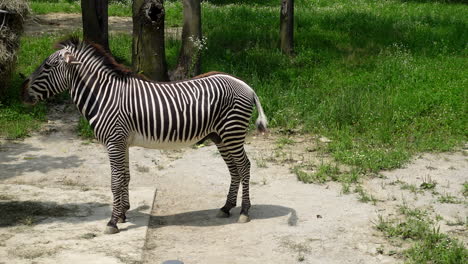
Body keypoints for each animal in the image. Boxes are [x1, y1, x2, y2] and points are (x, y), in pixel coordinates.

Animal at [22, 36, 268, 233]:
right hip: (221, 137)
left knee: (244, 166)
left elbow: (115, 181)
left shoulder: (114, 142)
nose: (21, 93)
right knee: (234, 170)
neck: (103, 95)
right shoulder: (122, 143)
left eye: (47, 66)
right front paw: (122, 214)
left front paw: (112, 222)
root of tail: (245, 84)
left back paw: (244, 211)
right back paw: (226, 208)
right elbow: (125, 177)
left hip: (232, 133)